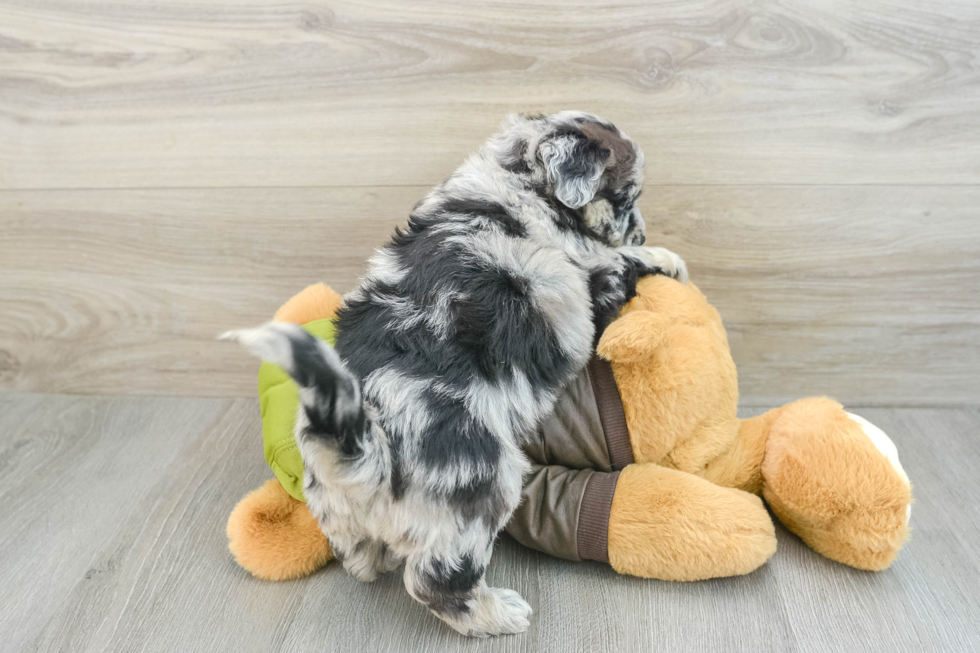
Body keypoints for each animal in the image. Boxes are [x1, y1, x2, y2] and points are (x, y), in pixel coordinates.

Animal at [225, 112, 684, 636]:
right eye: (626, 199)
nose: (642, 233)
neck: (520, 178)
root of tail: (367, 451)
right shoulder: (589, 273)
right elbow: (618, 262)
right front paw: (665, 258)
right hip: (479, 486)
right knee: (436, 577)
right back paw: (499, 615)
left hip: (333, 500)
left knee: (358, 554)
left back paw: (376, 559)